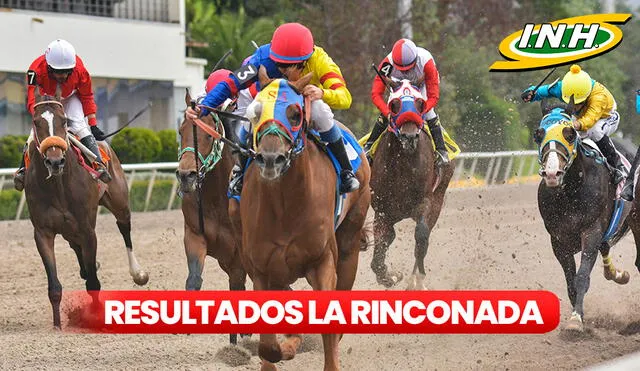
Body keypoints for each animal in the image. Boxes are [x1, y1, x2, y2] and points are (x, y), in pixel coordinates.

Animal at [25, 90, 149, 328]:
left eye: (64, 121)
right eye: (36, 122)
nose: (55, 161)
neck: (58, 186)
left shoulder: (87, 230)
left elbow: (93, 282)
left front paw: (96, 316)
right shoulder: (43, 233)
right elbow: (54, 285)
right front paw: (57, 325)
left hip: (120, 203)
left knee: (125, 230)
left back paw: (138, 272)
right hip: (68, 229)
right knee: (77, 249)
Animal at [175, 91, 248, 346]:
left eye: (208, 135)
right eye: (181, 131)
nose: (186, 175)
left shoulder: (239, 250)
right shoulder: (194, 235)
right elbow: (194, 279)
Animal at [229, 67, 370, 371]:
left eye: (295, 114)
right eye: (256, 113)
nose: (271, 159)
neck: (286, 206)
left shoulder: (322, 260)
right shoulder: (261, 267)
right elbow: (267, 345)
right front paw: (287, 346)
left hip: (349, 245)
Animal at [364, 79, 456, 290]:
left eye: (420, 103)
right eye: (394, 104)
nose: (409, 137)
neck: (402, 164)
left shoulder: (425, 202)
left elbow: (421, 237)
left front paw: (417, 281)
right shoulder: (382, 210)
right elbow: (381, 243)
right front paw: (389, 276)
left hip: (438, 199)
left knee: (423, 239)